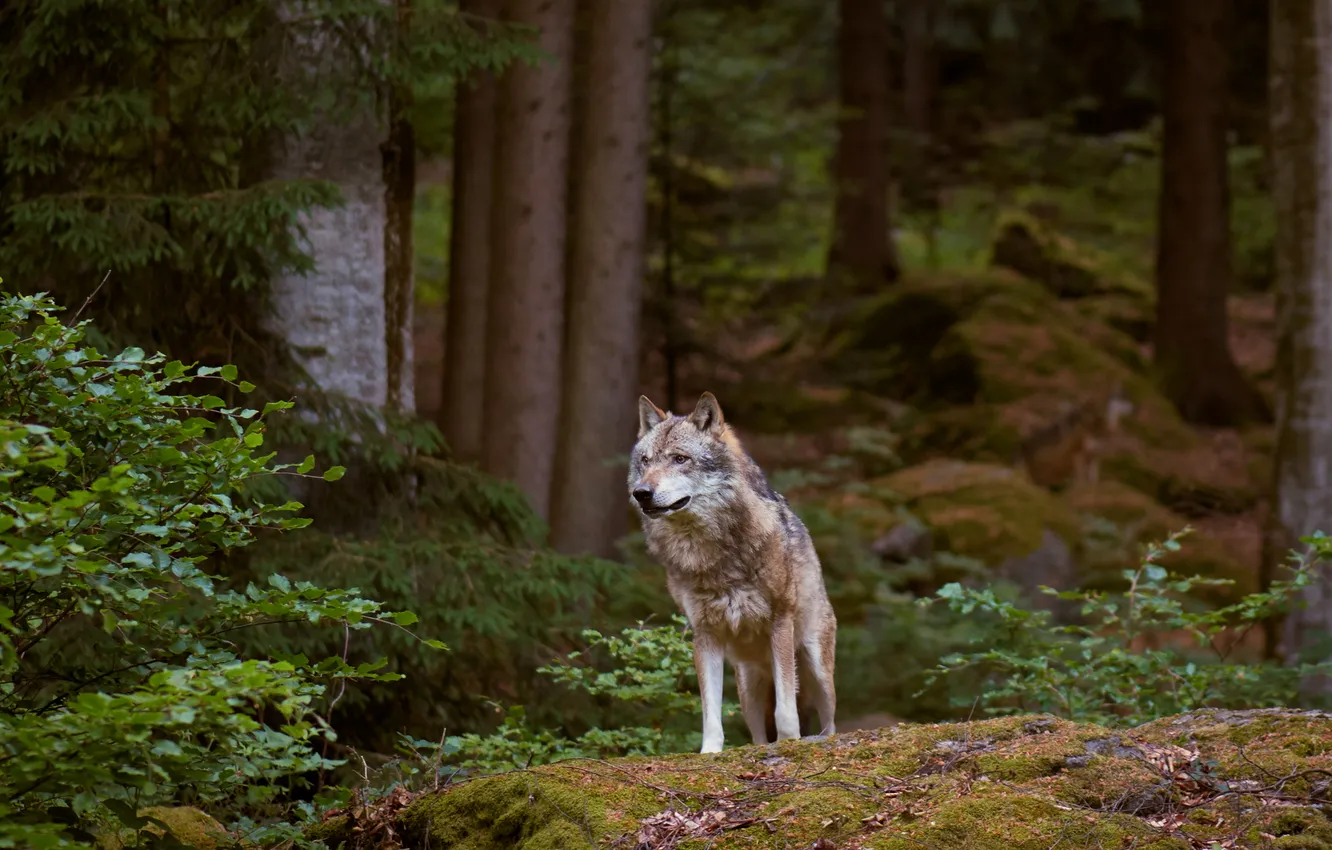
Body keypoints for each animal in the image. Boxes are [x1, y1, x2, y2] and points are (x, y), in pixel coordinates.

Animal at [628, 391, 837, 754]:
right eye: (645, 460)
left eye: (680, 459)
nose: (641, 493)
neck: (712, 555)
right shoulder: (704, 633)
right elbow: (710, 713)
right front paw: (710, 753)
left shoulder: (780, 620)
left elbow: (786, 710)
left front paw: (790, 743)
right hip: (747, 689)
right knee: (756, 735)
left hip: (816, 670)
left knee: (831, 723)